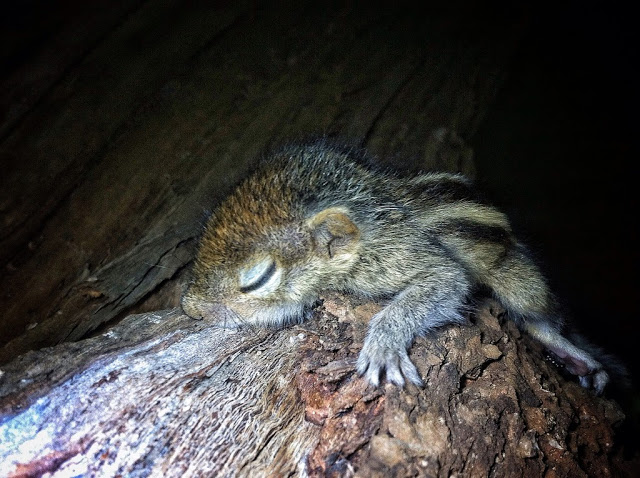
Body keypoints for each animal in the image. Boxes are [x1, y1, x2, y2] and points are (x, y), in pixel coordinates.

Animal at [180, 138, 616, 392]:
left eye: (258, 278)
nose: (190, 309)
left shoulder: (395, 256)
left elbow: (446, 281)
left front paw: (383, 346)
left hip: (520, 282)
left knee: (539, 319)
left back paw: (574, 355)